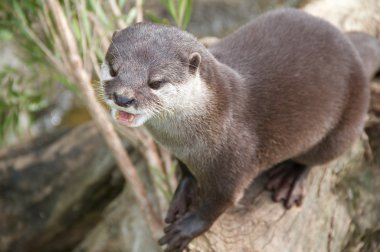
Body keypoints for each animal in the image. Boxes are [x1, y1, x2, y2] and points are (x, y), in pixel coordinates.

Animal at [101, 8, 380, 252]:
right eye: (113, 70)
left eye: (156, 82)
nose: (123, 97)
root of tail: (352, 48)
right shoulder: (180, 153)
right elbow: (186, 173)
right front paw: (182, 196)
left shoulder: (235, 161)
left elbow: (217, 204)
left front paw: (186, 229)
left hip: (344, 124)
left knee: (317, 158)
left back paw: (290, 178)